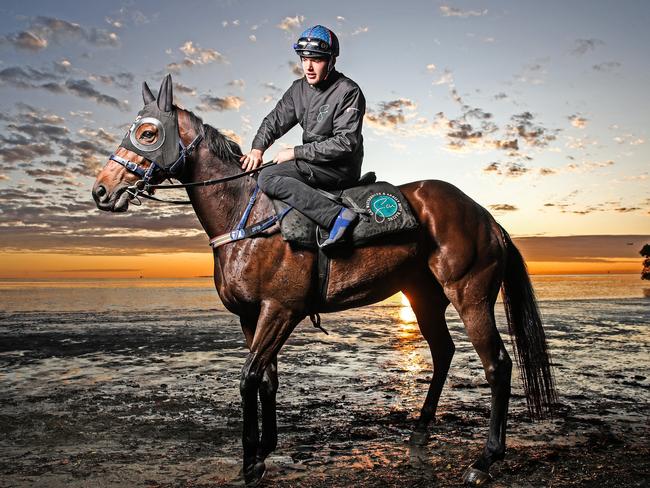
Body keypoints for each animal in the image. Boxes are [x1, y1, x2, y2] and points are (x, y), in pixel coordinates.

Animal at [91, 74, 556, 486]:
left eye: (148, 132)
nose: (101, 191)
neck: (247, 217)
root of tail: (485, 216)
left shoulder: (280, 311)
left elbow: (248, 378)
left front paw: (250, 462)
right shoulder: (250, 317)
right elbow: (267, 380)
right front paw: (264, 449)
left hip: (470, 295)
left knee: (497, 365)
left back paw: (485, 459)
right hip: (423, 297)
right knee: (443, 353)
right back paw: (422, 427)